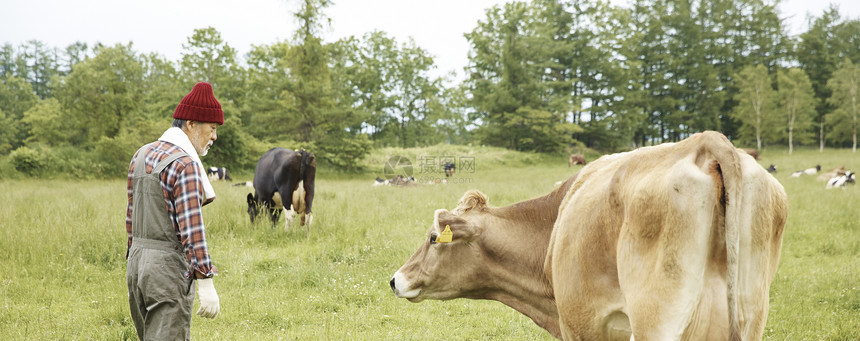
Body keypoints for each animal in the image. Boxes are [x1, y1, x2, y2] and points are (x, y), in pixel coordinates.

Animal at [390, 131, 788, 340]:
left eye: (432, 238)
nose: (395, 279)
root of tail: (705, 142)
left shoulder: (581, 325)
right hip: (750, 315)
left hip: (656, 321)